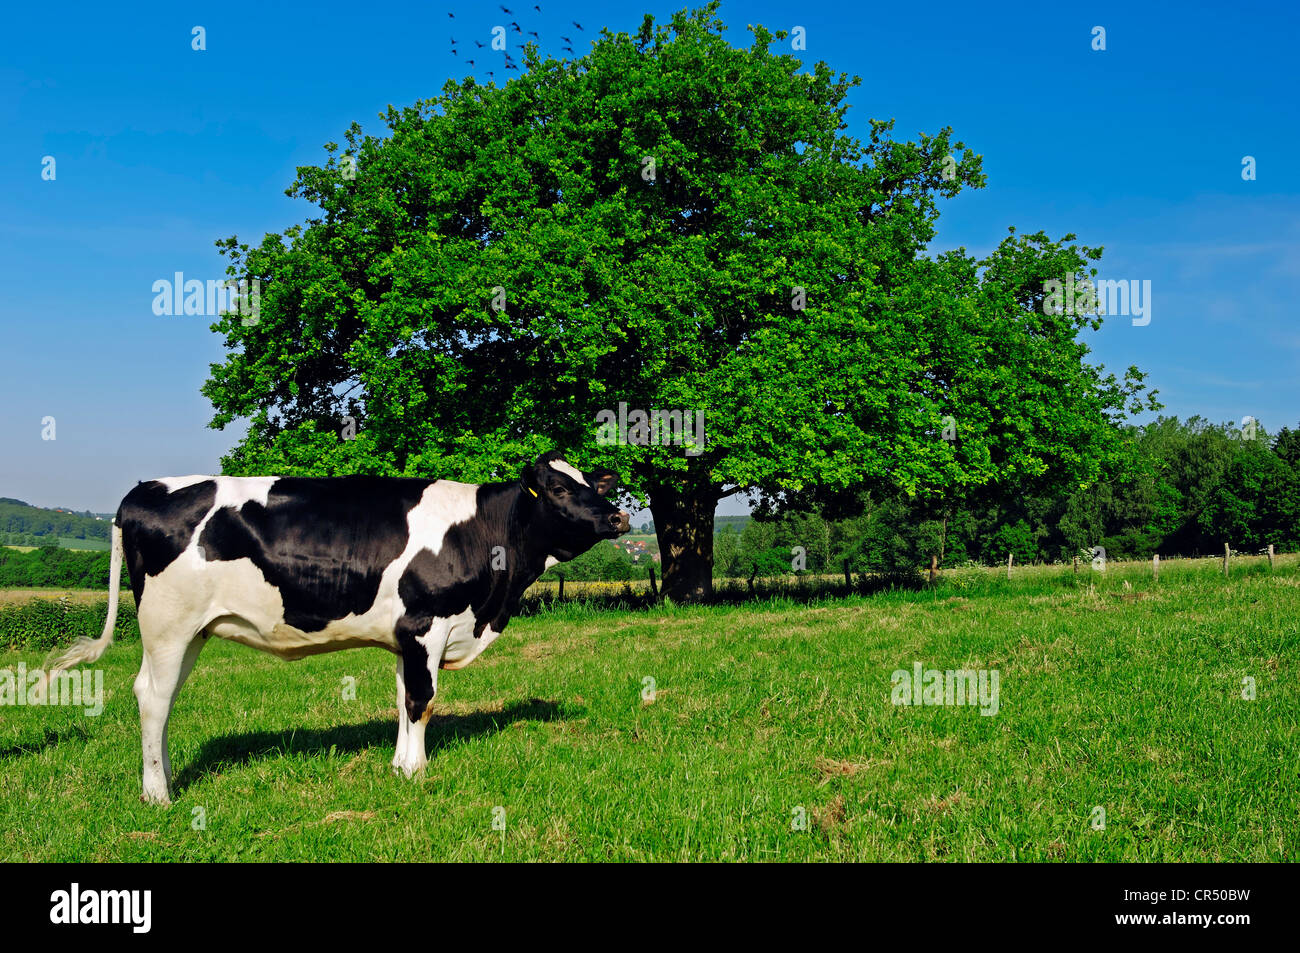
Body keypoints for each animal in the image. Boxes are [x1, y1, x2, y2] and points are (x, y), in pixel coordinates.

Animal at [42, 451, 630, 804]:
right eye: (558, 489)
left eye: (592, 483)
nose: (619, 516)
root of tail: (143, 489)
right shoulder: (426, 624)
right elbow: (423, 701)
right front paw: (418, 772)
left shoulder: (405, 636)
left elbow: (402, 699)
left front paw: (399, 768)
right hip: (167, 625)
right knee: (152, 696)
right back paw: (158, 795)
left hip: (191, 632)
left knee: (162, 699)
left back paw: (162, 778)